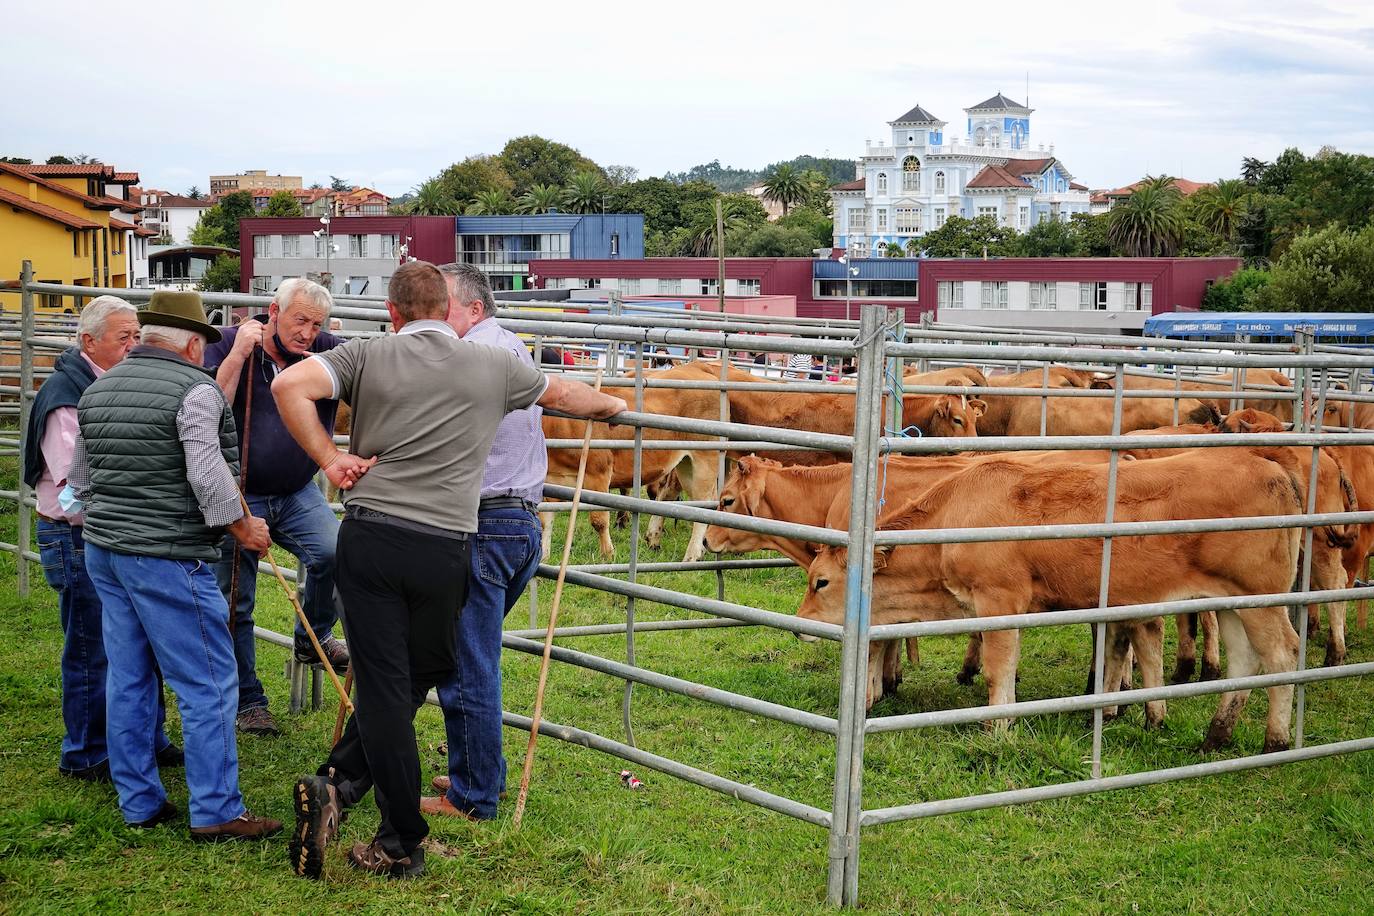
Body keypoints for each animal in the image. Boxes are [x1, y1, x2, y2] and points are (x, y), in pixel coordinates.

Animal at [796, 447, 1308, 758]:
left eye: (821, 581)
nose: (800, 624)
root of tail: (1271, 469)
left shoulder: (1000, 601)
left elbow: (998, 671)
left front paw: (996, 729)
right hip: (1232, 600)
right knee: (1245, 661)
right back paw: (1215, 737)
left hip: (1262, 598)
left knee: (1283, 654)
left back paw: (1275, 742)